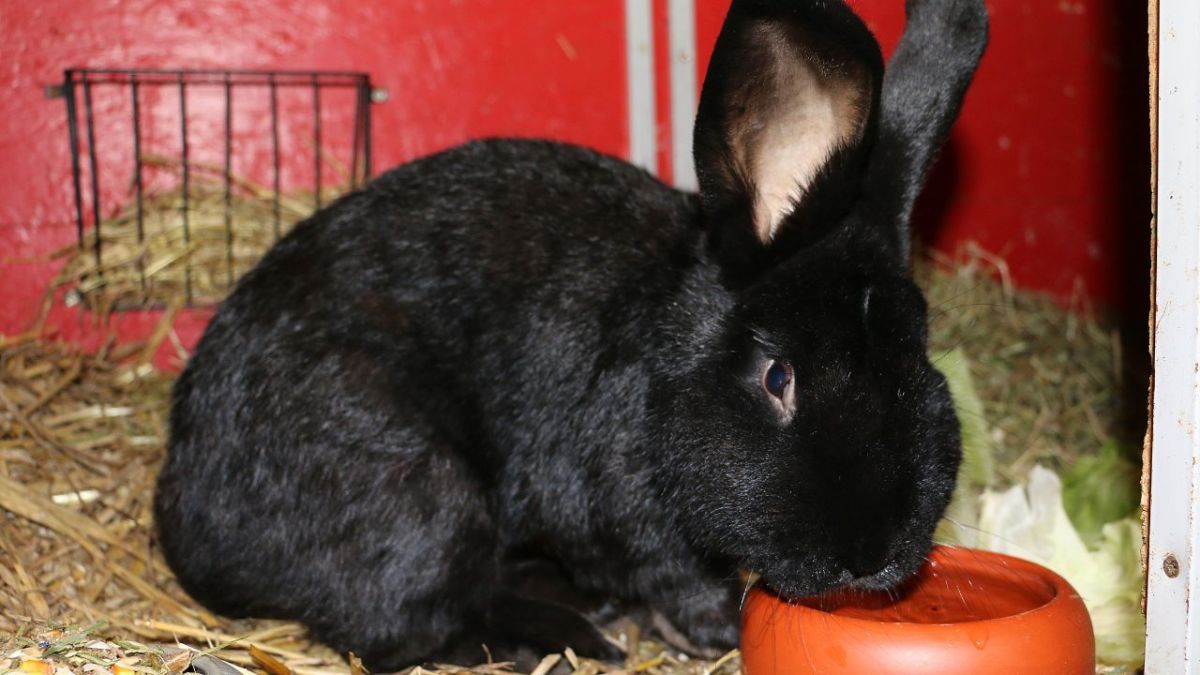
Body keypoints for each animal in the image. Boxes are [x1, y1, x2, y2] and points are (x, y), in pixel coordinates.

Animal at [154, 1, 988, 667]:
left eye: (921, 358)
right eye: (778, 377)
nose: (871, 556)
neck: (659, 364)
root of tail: (186, 522)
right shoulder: (627, 512)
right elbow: (677, 576)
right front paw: (716, 631)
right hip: (422, 498)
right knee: (403, 630)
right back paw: (562, 639)